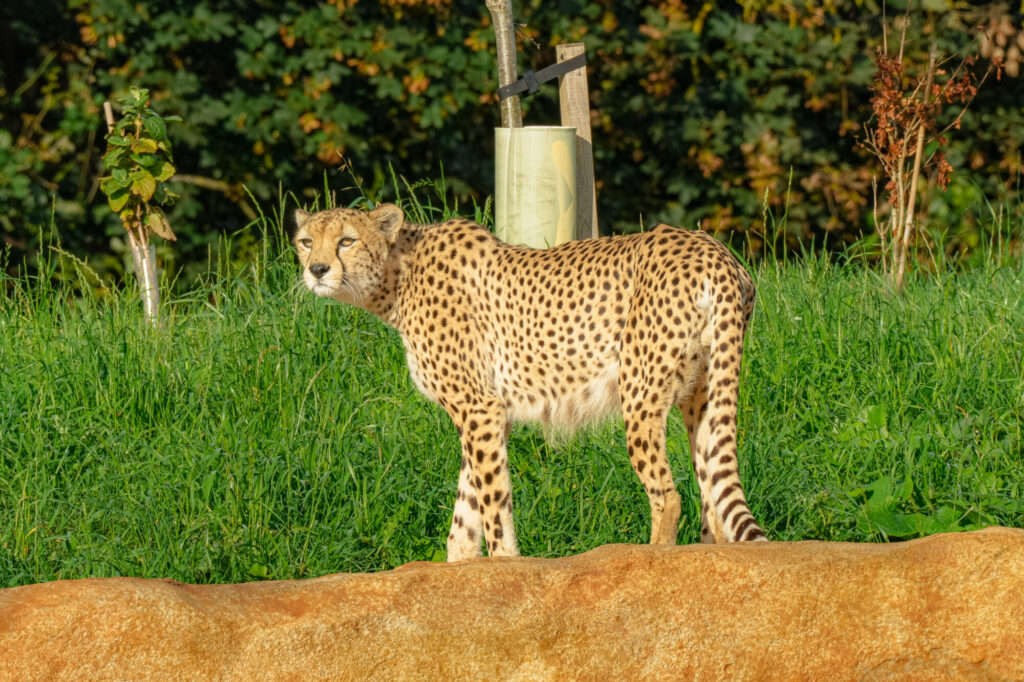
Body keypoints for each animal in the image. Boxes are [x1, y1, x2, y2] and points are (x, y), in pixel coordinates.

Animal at [293, 203, 767, 561]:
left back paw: (654, 558)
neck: (398, 274)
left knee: (669, 496)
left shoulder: (479, 408)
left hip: (640, 393)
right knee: (714, 500)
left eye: (347, 240)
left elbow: (492, 507)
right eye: (305, 241)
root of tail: (713, 249)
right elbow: (465, 515)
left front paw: (505, 568)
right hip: (703, 394)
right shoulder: (488, 414)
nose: (317, 269)